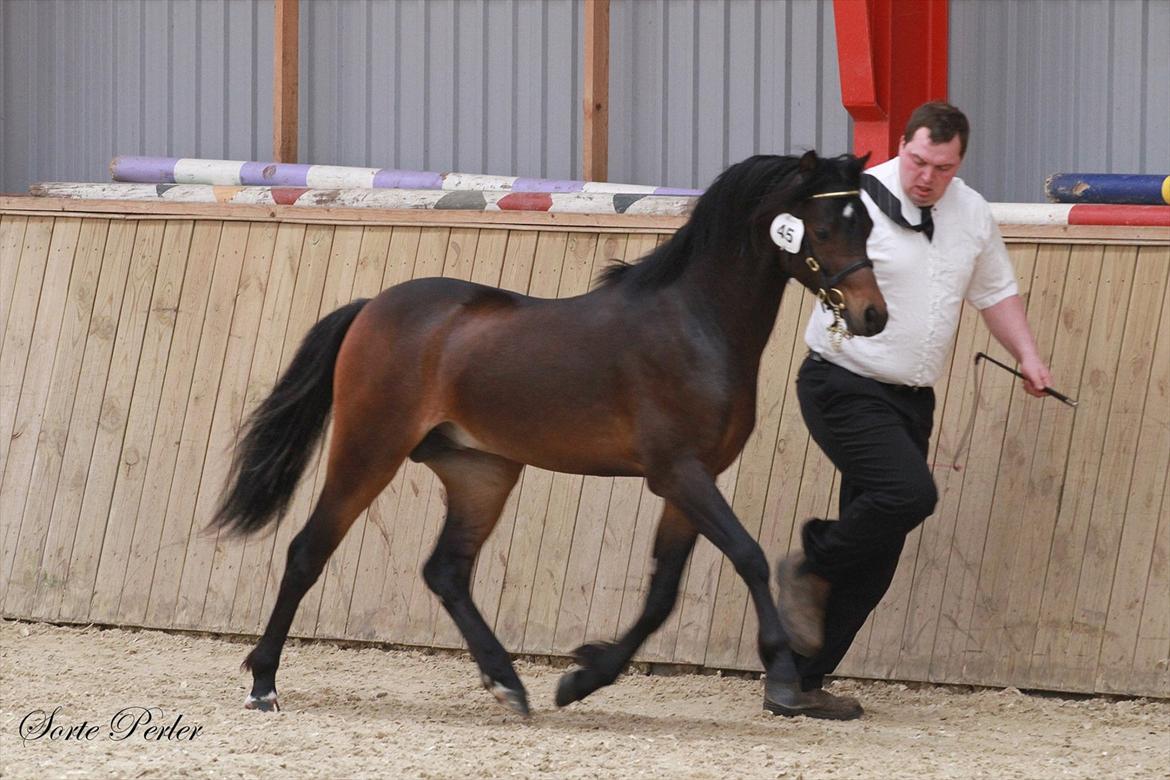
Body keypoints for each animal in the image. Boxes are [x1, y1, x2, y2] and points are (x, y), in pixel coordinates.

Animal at [212, 149, 885, 716]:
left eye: (867, 227)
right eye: (824, 229)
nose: (872, 315)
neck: (694, 324)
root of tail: (373, 307)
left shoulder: (689, 482)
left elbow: (663, 593)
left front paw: (583, 678)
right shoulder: (680, 474)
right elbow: (747, 557)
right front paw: (784, 680)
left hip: (481, 472)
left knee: (446, 571)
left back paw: (508, 682)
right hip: (369, 450)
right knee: (308, 552)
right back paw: (264, 684)